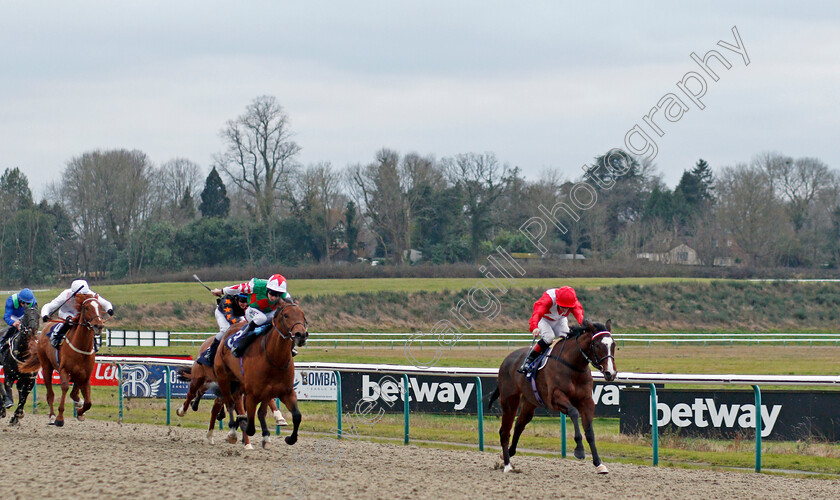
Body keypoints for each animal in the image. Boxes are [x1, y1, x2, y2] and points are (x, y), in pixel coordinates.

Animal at [20, 294, 106, 428]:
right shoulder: (64, 370)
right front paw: (59, 418)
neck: (81, 346)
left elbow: (88, 402)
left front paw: (80, 412)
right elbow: (65, 388)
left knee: (74, 392)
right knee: (50, 394)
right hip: (46, 367)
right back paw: (52, 416)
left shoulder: (85, 375)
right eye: (87, 308)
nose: (99, 326)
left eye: (100, 307)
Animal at [213, 300, 308, 450]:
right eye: (286, 315)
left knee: (258, 411)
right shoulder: (252, 394)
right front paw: (242, 425)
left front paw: (290, 438)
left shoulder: (285, 392)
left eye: (303, 315)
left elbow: (297, 416)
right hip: (224, 379)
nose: (301, 335)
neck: (274, 359)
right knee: (230, 403)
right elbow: (250, 426)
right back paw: (233, 431)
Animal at [486, 320, 616, 472]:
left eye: (613, 345)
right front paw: (579, 450)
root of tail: (506, 360)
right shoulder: (555, 398)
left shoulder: (586, 401)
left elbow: (589, 431)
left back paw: (509, 454)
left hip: (530, 402)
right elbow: (573, 412)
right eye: (597, 345)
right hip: (509, 400)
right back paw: (507, 465)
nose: (611, 373)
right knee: (504, 431)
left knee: (519, 424)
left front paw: (599, 463)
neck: (573, 366)